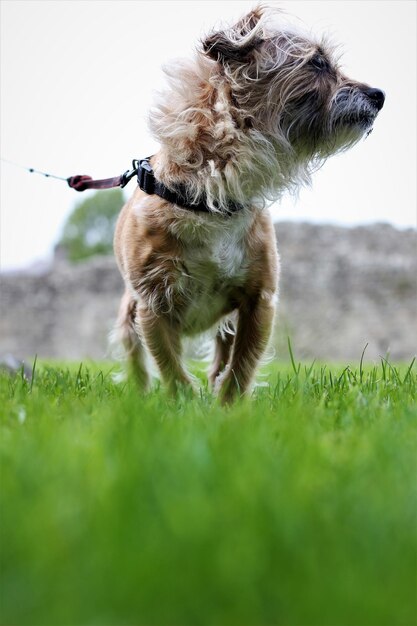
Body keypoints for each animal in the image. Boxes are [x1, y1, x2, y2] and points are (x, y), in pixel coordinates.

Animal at [113, 4, 384, 402]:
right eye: (318, 62)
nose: (380, 94)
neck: (211, 201)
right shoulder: (153, 305)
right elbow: (171, 367)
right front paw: (181, 404)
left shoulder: (259, 301)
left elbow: (239, 368)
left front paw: (228, 409)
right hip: (130, 314)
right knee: (135, 354)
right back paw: (139, 393)